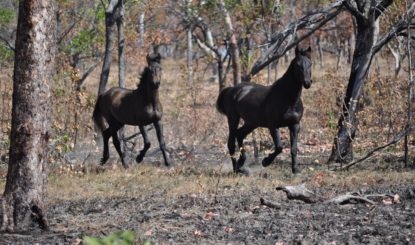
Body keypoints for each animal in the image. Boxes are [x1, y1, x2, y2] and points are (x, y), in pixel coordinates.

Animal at [218, 46, 312, 174]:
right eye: (298, 65)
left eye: (310, 64)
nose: (307, 83)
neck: (288, 99)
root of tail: (231, 89)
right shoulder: (273, 126)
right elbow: (279, 147)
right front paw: (265, 162)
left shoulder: (295, 125)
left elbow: (293, 148)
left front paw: (295, 169)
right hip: (233, 119)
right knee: (231, 143)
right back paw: (237, 169)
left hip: (252, 122)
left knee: (240, 134)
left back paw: (241, 165)